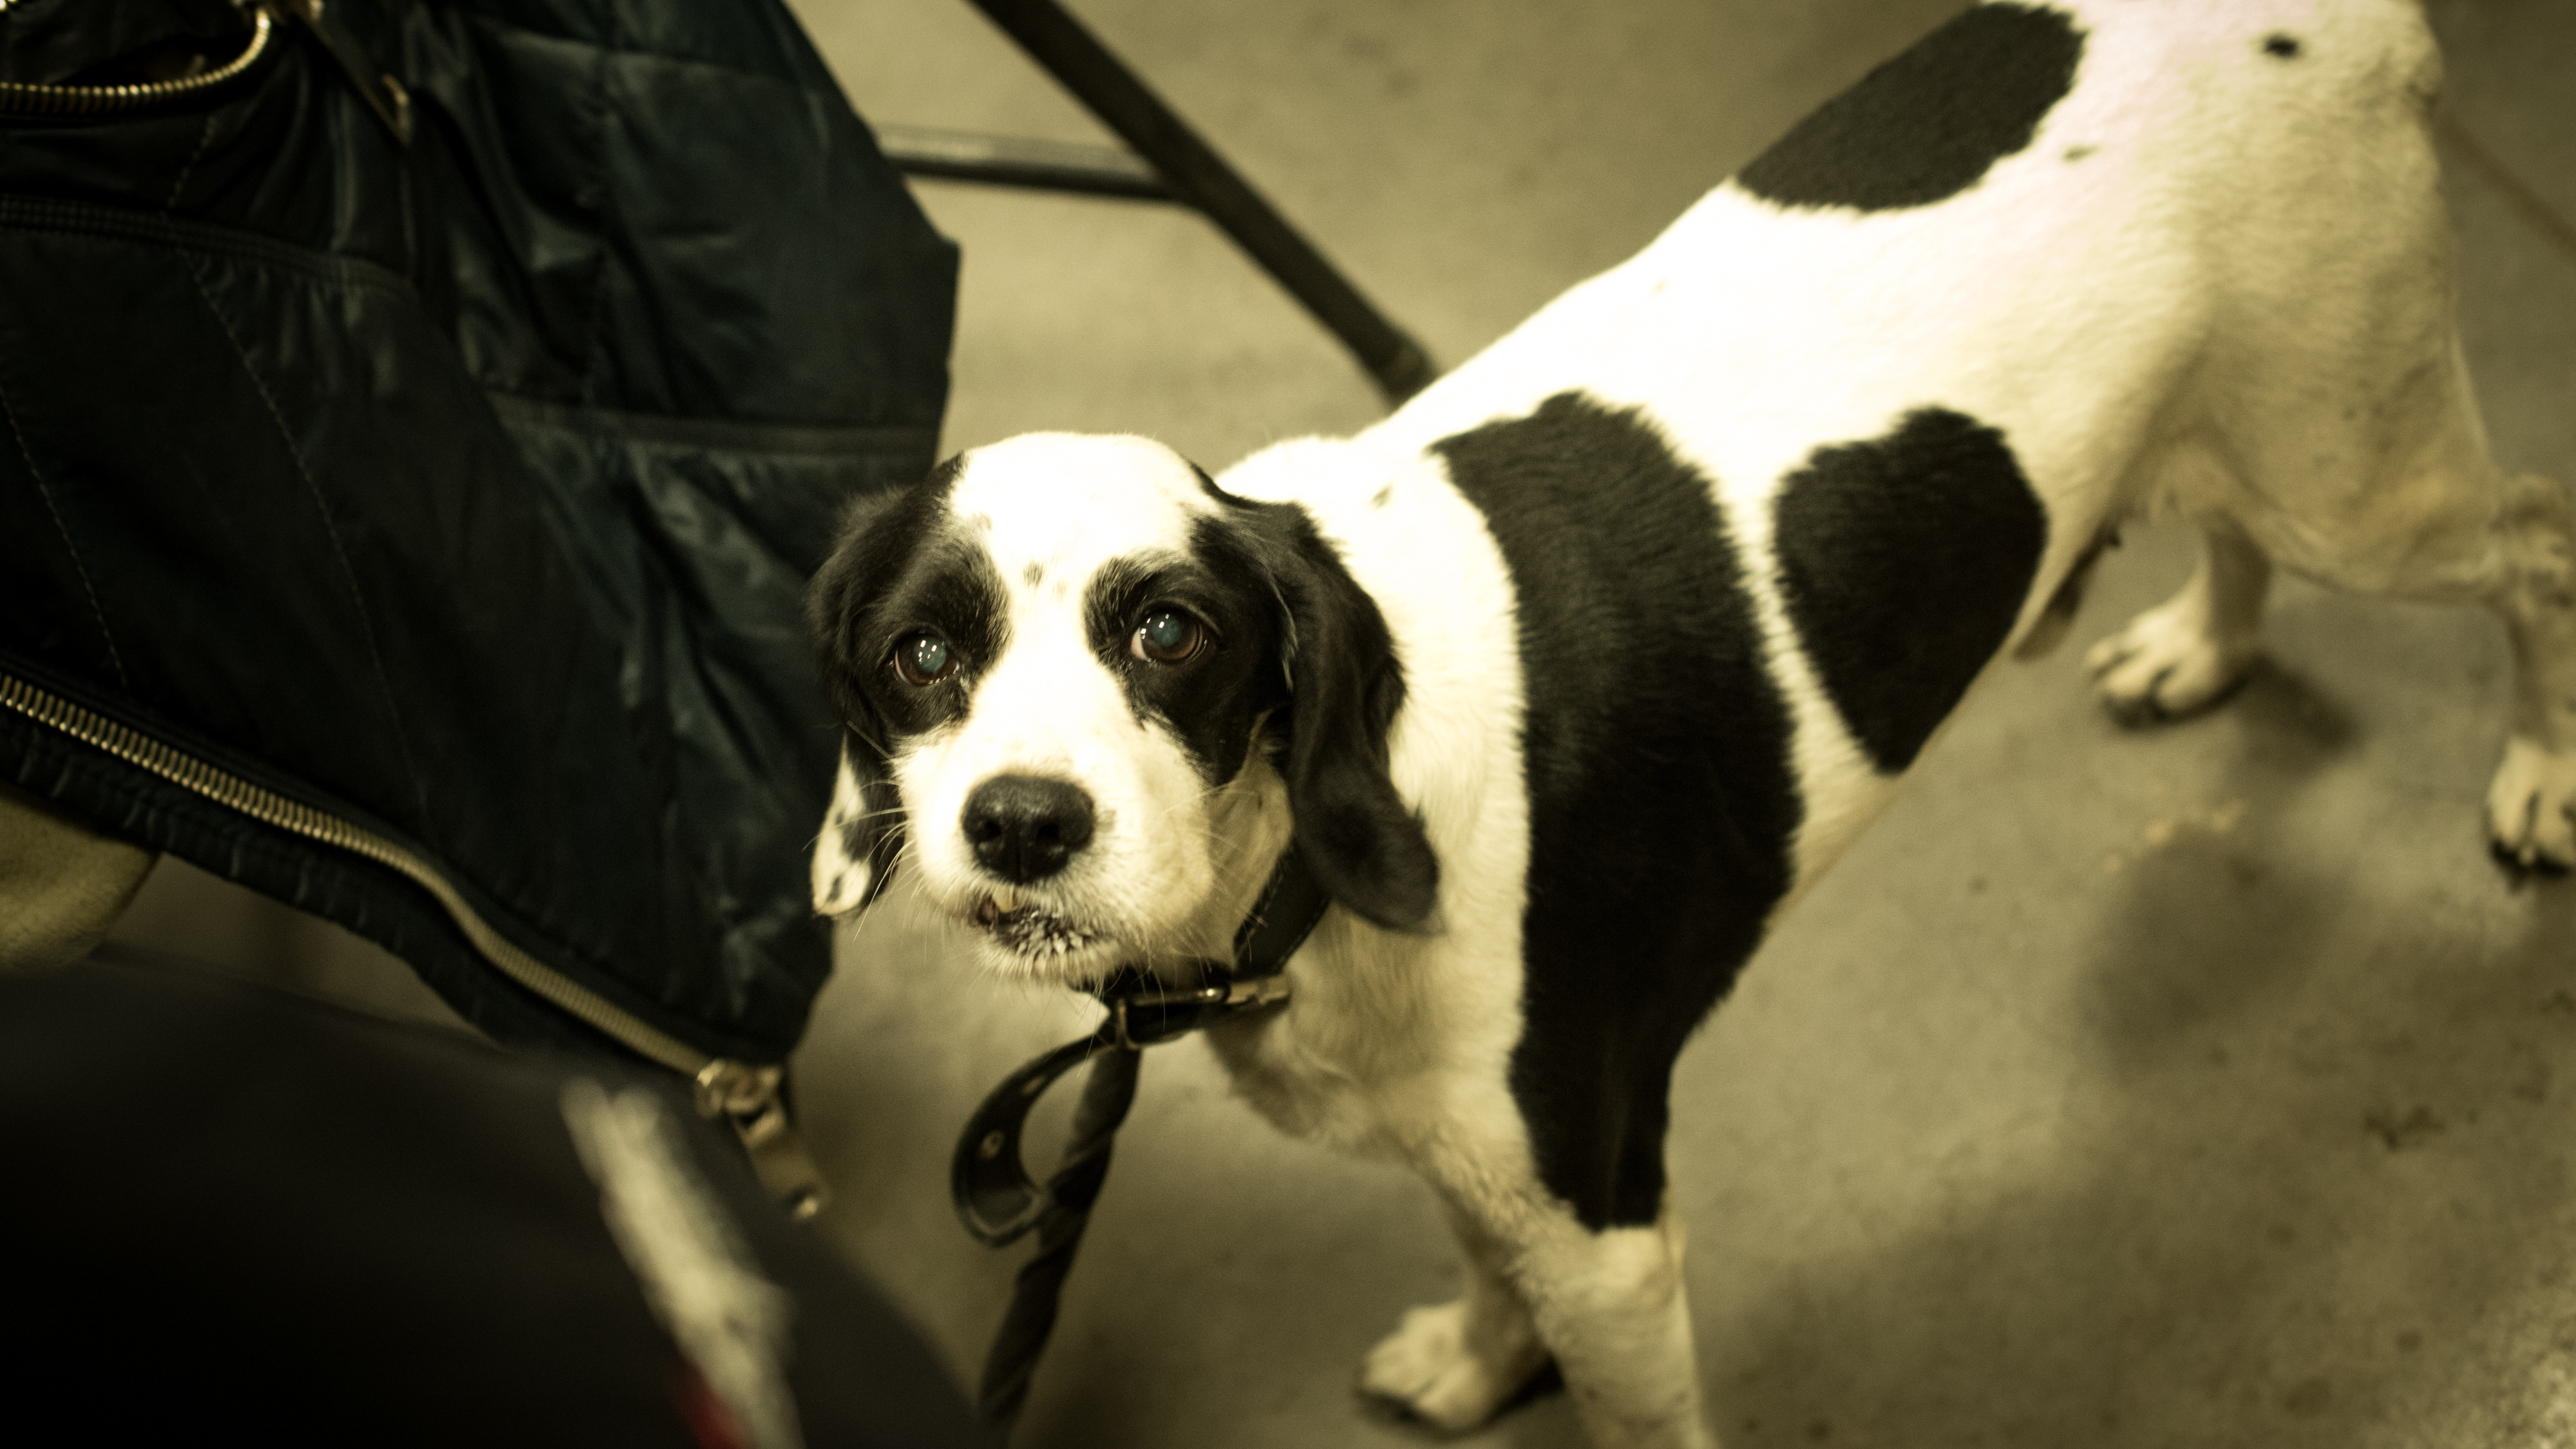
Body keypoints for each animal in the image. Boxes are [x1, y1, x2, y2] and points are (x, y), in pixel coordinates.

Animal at [805, 2, 2576, 1443]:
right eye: (917, 655)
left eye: (1170, 632)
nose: (1020, 823)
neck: (1305, 866)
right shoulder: (1499, 1170)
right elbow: (1480, 1255)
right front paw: (1476, 1359)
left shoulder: (1606, 1220)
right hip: (2256, 437)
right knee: (2237, 522)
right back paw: (2203, 647)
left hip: (2361, 479)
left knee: (2539, 544)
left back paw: (2543, 780)